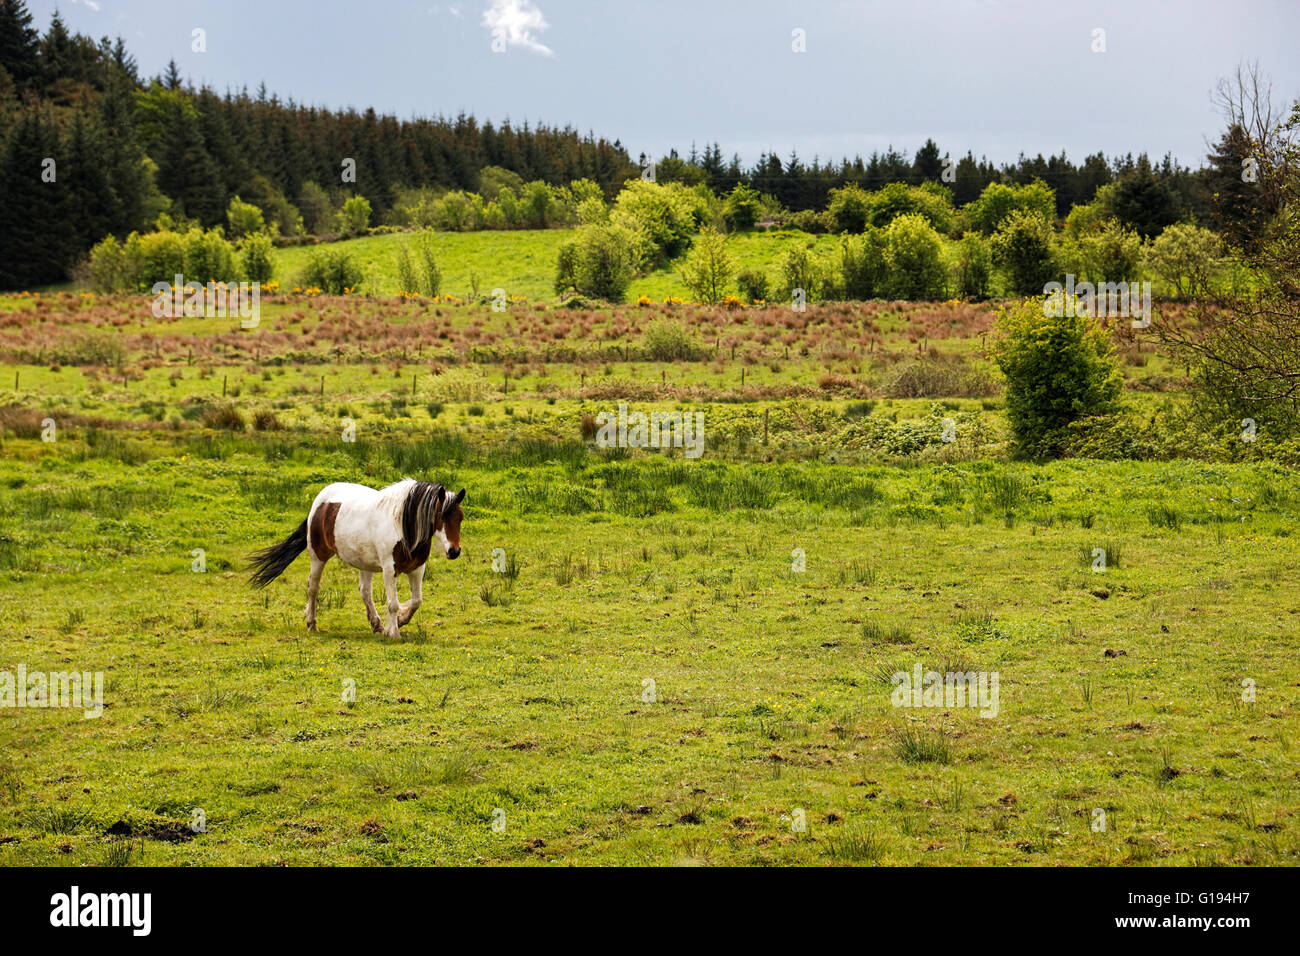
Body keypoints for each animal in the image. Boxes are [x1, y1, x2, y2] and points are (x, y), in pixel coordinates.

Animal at [245, 478, 465, 642]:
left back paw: (376, 624)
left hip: (364, 562)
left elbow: (416, 601)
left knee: (365, 591)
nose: (454, 551)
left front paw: (398, 621)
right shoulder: (389, 569)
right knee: (313, 588)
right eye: (441, 516)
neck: (403, 526)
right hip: (318, 556)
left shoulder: (417, 568)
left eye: (460, 517)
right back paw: (312, 623)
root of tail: (319, 501)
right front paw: (394, 632)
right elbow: (393, 603)